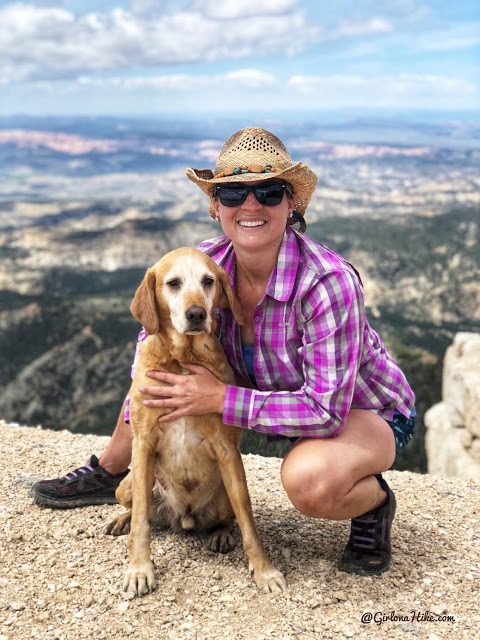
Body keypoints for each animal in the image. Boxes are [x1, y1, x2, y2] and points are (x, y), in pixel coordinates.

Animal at [104, 249, 284, 596]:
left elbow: (248, 522)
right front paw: (139, 568)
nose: (197, 314)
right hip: (127, 484)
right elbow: (141, 523)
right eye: (173, 283)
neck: (184, 360)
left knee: (229, 518)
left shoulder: (227, 450)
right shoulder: (143, 443)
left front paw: (264, 570)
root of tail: (183, 519)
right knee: (136, 509)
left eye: (208, 281)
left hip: (224, 494)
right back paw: (122, 519)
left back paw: (220, 534)